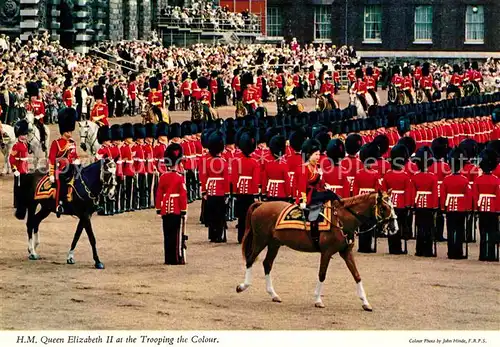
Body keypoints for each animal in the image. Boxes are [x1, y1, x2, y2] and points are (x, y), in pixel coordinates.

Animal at [237, 193, 398, 310]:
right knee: (251, 259)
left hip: (274, 244)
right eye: (384, 207)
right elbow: (322, 274)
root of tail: (262, 204)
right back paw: (243, 286)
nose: (394, 228)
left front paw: (365, 302)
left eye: (392, 206)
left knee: (267, 264)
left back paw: (273, 294)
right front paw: (318, 299)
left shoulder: (346, 253)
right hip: (261, 240)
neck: (341, 219)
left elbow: (357, 275)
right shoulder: (326, 252)